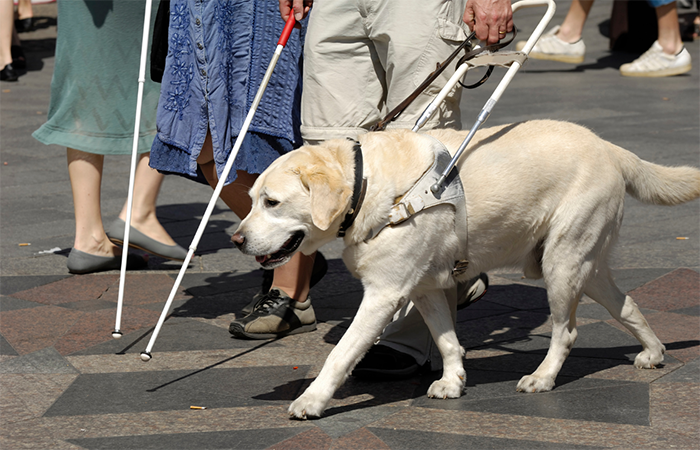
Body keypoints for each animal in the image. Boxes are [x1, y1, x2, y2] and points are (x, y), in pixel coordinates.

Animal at [231, 119, 700, 418]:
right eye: (251, 199)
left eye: (272, 202)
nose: (236, 239)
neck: (370, 186)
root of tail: (610, 147)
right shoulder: (423, 288)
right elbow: (447, 341)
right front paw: (454, 381)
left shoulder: (384, 293)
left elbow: (340, 353)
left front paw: (312, 401)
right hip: (587, 265)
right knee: (627, 305)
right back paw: (653, 352)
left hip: (562, 264)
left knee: (566, 332)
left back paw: (543, 377)